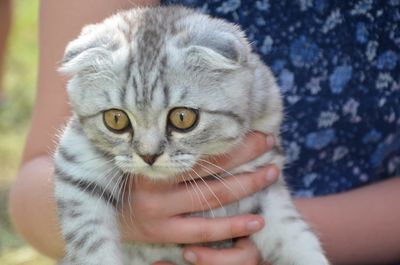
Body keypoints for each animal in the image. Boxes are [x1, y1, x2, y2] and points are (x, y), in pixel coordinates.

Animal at [55, 5, 332, 264]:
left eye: (182, 118)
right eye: (116, 119)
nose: (149, 156)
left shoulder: (265, 184)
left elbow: (296, 237)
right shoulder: (76, 162)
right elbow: (89, 240)